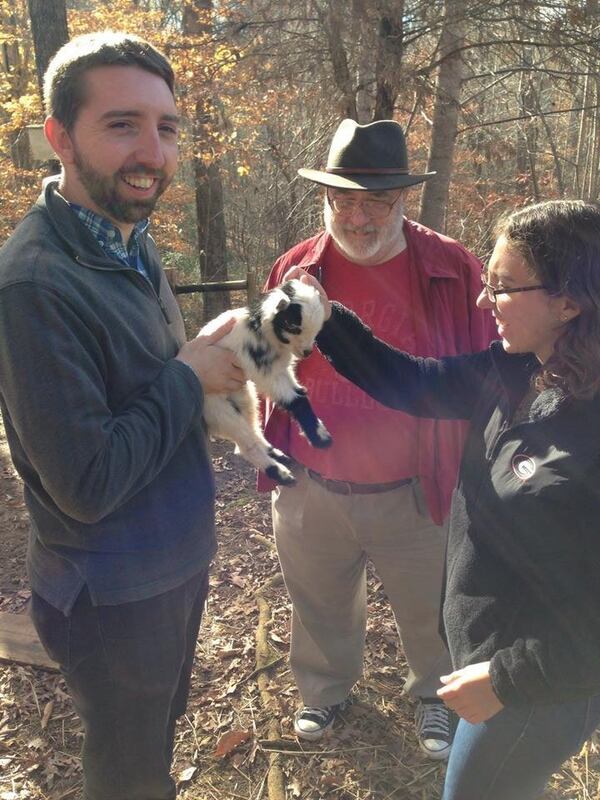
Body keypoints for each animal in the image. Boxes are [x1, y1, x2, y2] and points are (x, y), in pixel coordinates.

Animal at [202, 278, 332, 484]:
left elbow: (300, 393)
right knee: (245, 445)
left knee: (251, 432)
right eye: (293, 326)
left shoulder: (282, 370)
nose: (307, 352)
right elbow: (296, 401)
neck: (259, 328)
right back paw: (281, 474)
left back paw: (277, 455)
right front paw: (321, 439)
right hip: (219, 410)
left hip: (245, 398)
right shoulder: (265, 373)